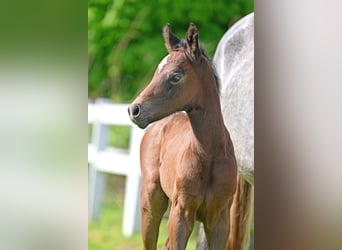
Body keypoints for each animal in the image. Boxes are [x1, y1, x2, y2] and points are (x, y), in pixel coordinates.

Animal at [128, 23, 238, 248]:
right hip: (152, 205)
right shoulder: (181, 214)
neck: (209, 154)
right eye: (156, 73)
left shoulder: (220, 219)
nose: (134, 110)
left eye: (175, 76)